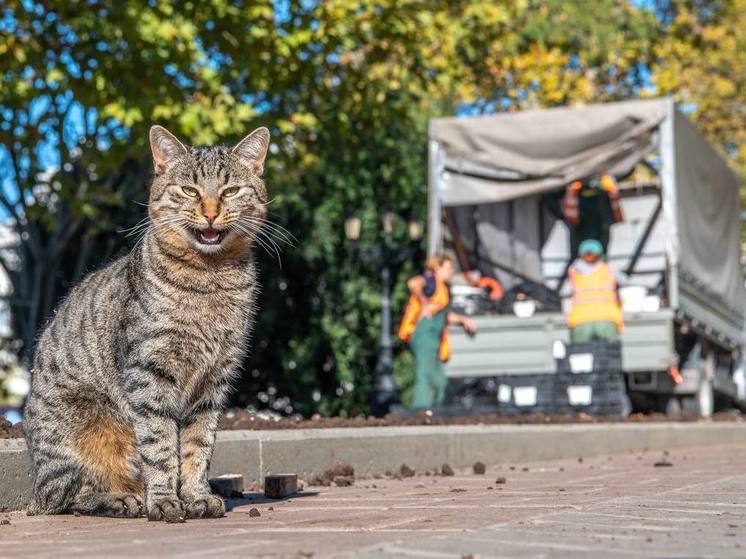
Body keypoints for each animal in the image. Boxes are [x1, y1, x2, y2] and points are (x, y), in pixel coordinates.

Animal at [21, 124, 272, 524]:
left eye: (230, 191)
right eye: (190, 190)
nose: (211, 213)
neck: (210, 277)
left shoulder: (216, 379)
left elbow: (198, 446)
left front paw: (197, 496)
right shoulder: (149, 371)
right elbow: (160, 443)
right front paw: (165, 500)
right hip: (76, 434)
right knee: (65, 496)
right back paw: (123, 499)